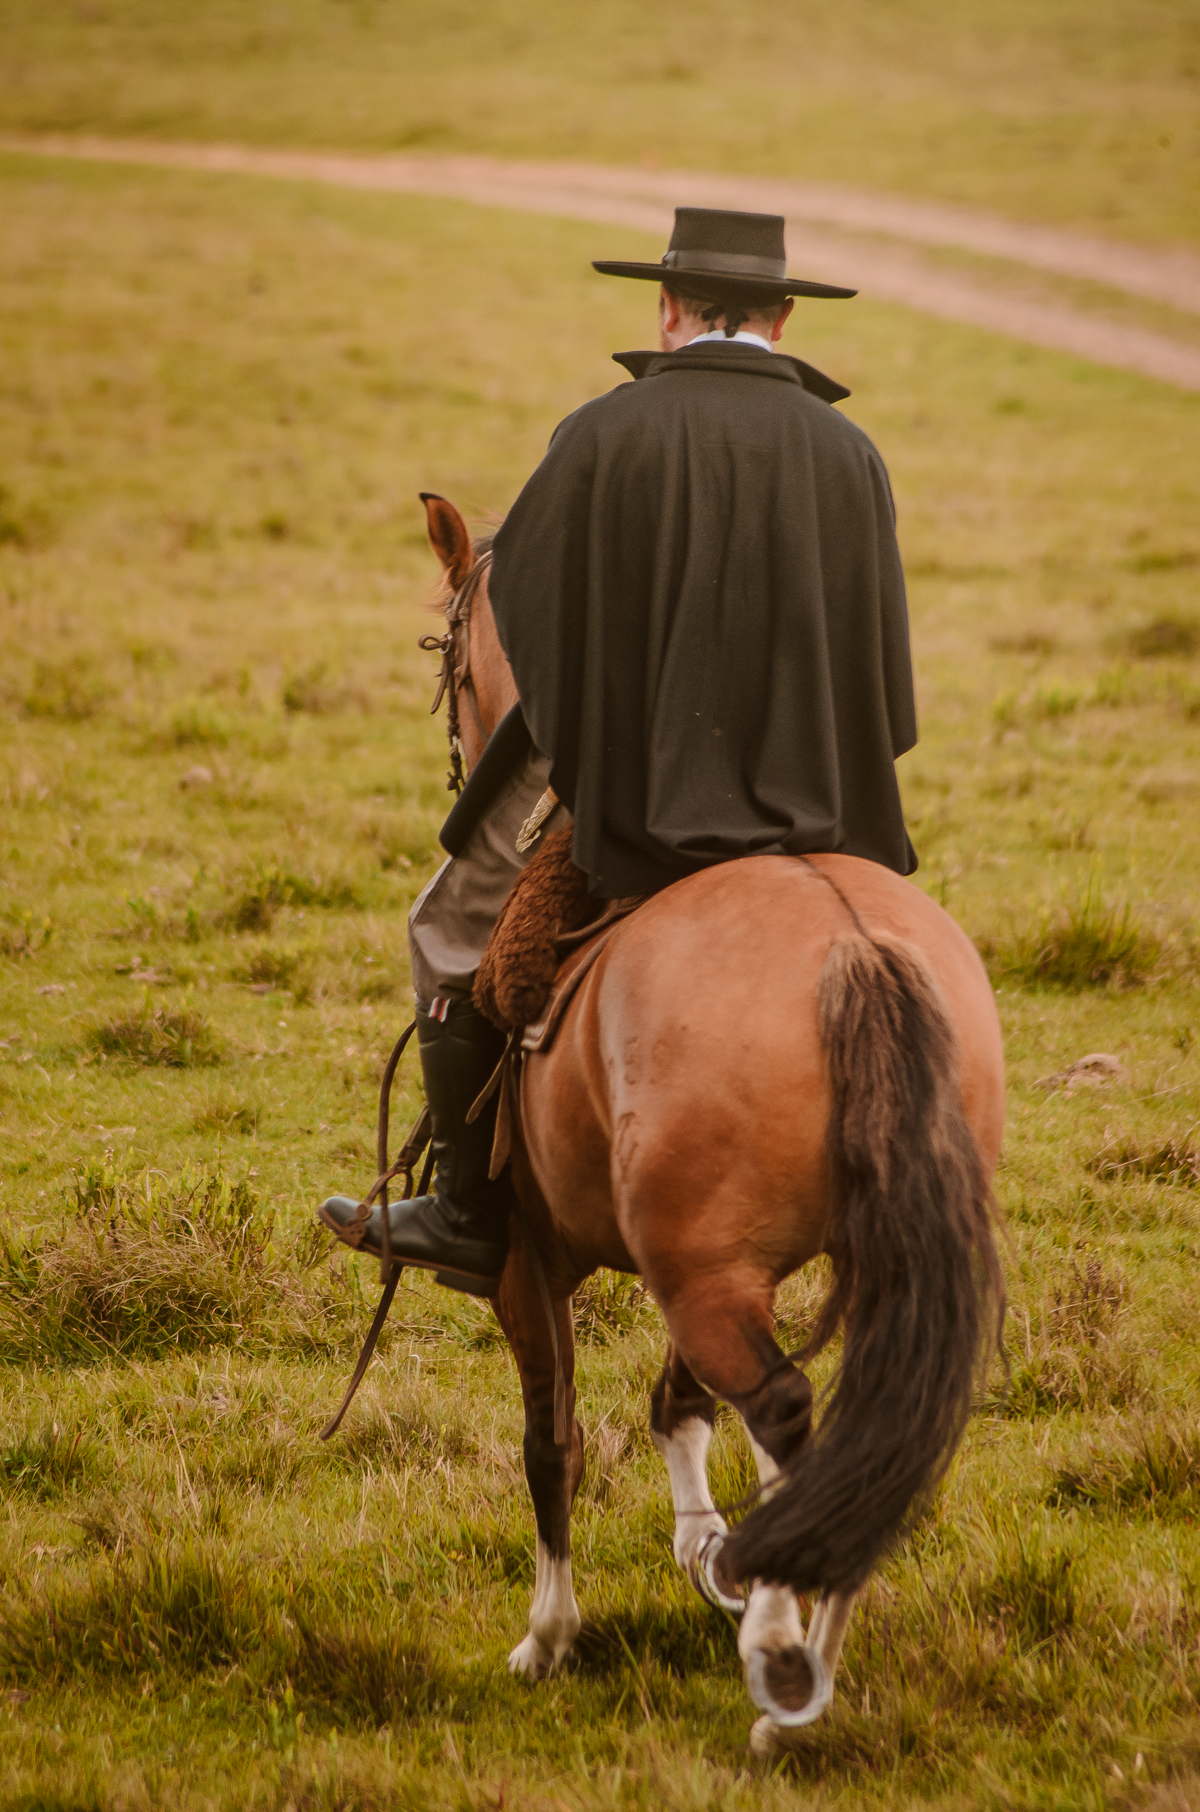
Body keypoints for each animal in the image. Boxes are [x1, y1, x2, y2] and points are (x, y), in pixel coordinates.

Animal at [409, 490, 1005, 1753]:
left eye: (445, 648)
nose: (469, 773)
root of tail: (850, 946)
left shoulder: (533, 1265)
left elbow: (552, 1437)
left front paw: (550, 1636)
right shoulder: (698, 1257)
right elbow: (676, 1402)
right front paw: (713, 1559)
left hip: (697, 1272)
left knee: (786, 1413)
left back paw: (786, 1669)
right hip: (797, 1263)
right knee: (844, 1432)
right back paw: (796, 1647)